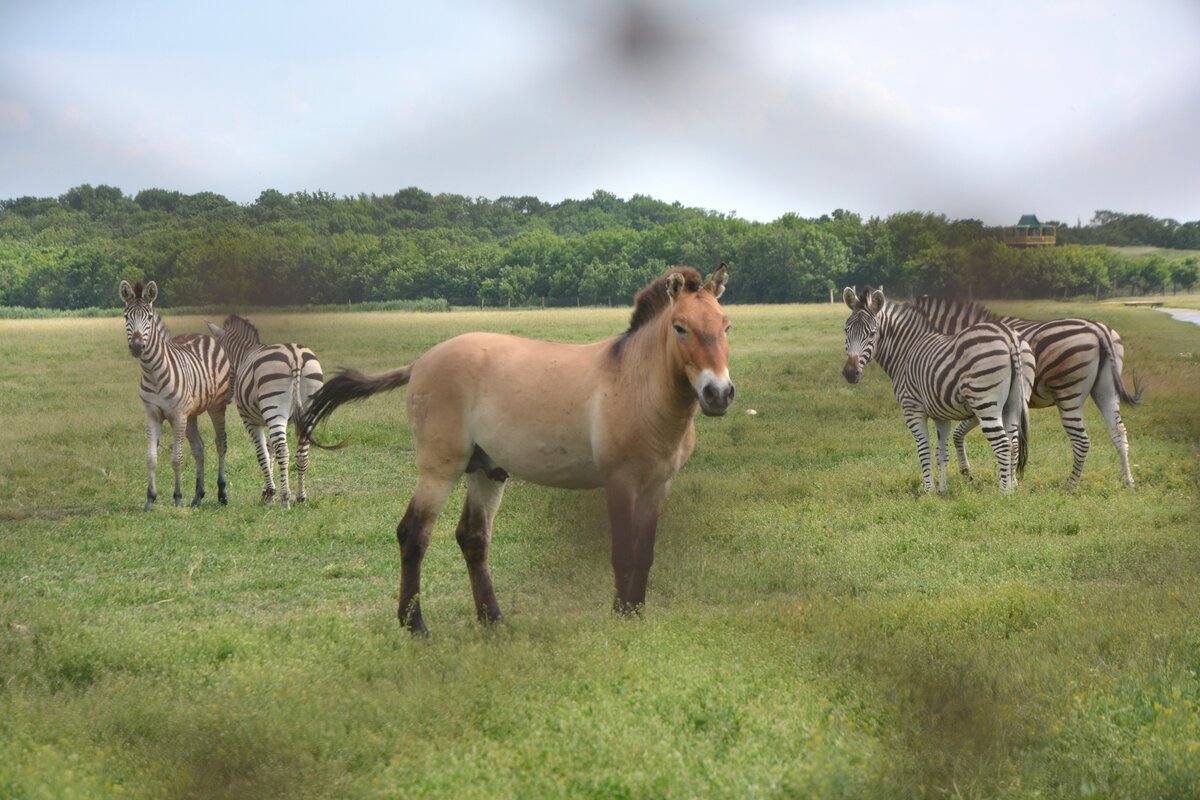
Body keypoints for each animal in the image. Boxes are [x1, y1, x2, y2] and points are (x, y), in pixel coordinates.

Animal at [301, 265, 734, 634]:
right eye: (680, 327)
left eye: (726, 325)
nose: (718, 394)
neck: (635, 383)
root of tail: (420, 363)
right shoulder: (621, 483)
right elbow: (624, 552)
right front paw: (621, 618)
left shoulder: (658, 486)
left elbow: (644, 554)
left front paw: (635, 614)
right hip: (439, 470)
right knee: (414, 534)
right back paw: (416, 626)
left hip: (485, 471)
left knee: (473, 538)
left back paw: (492, 619)